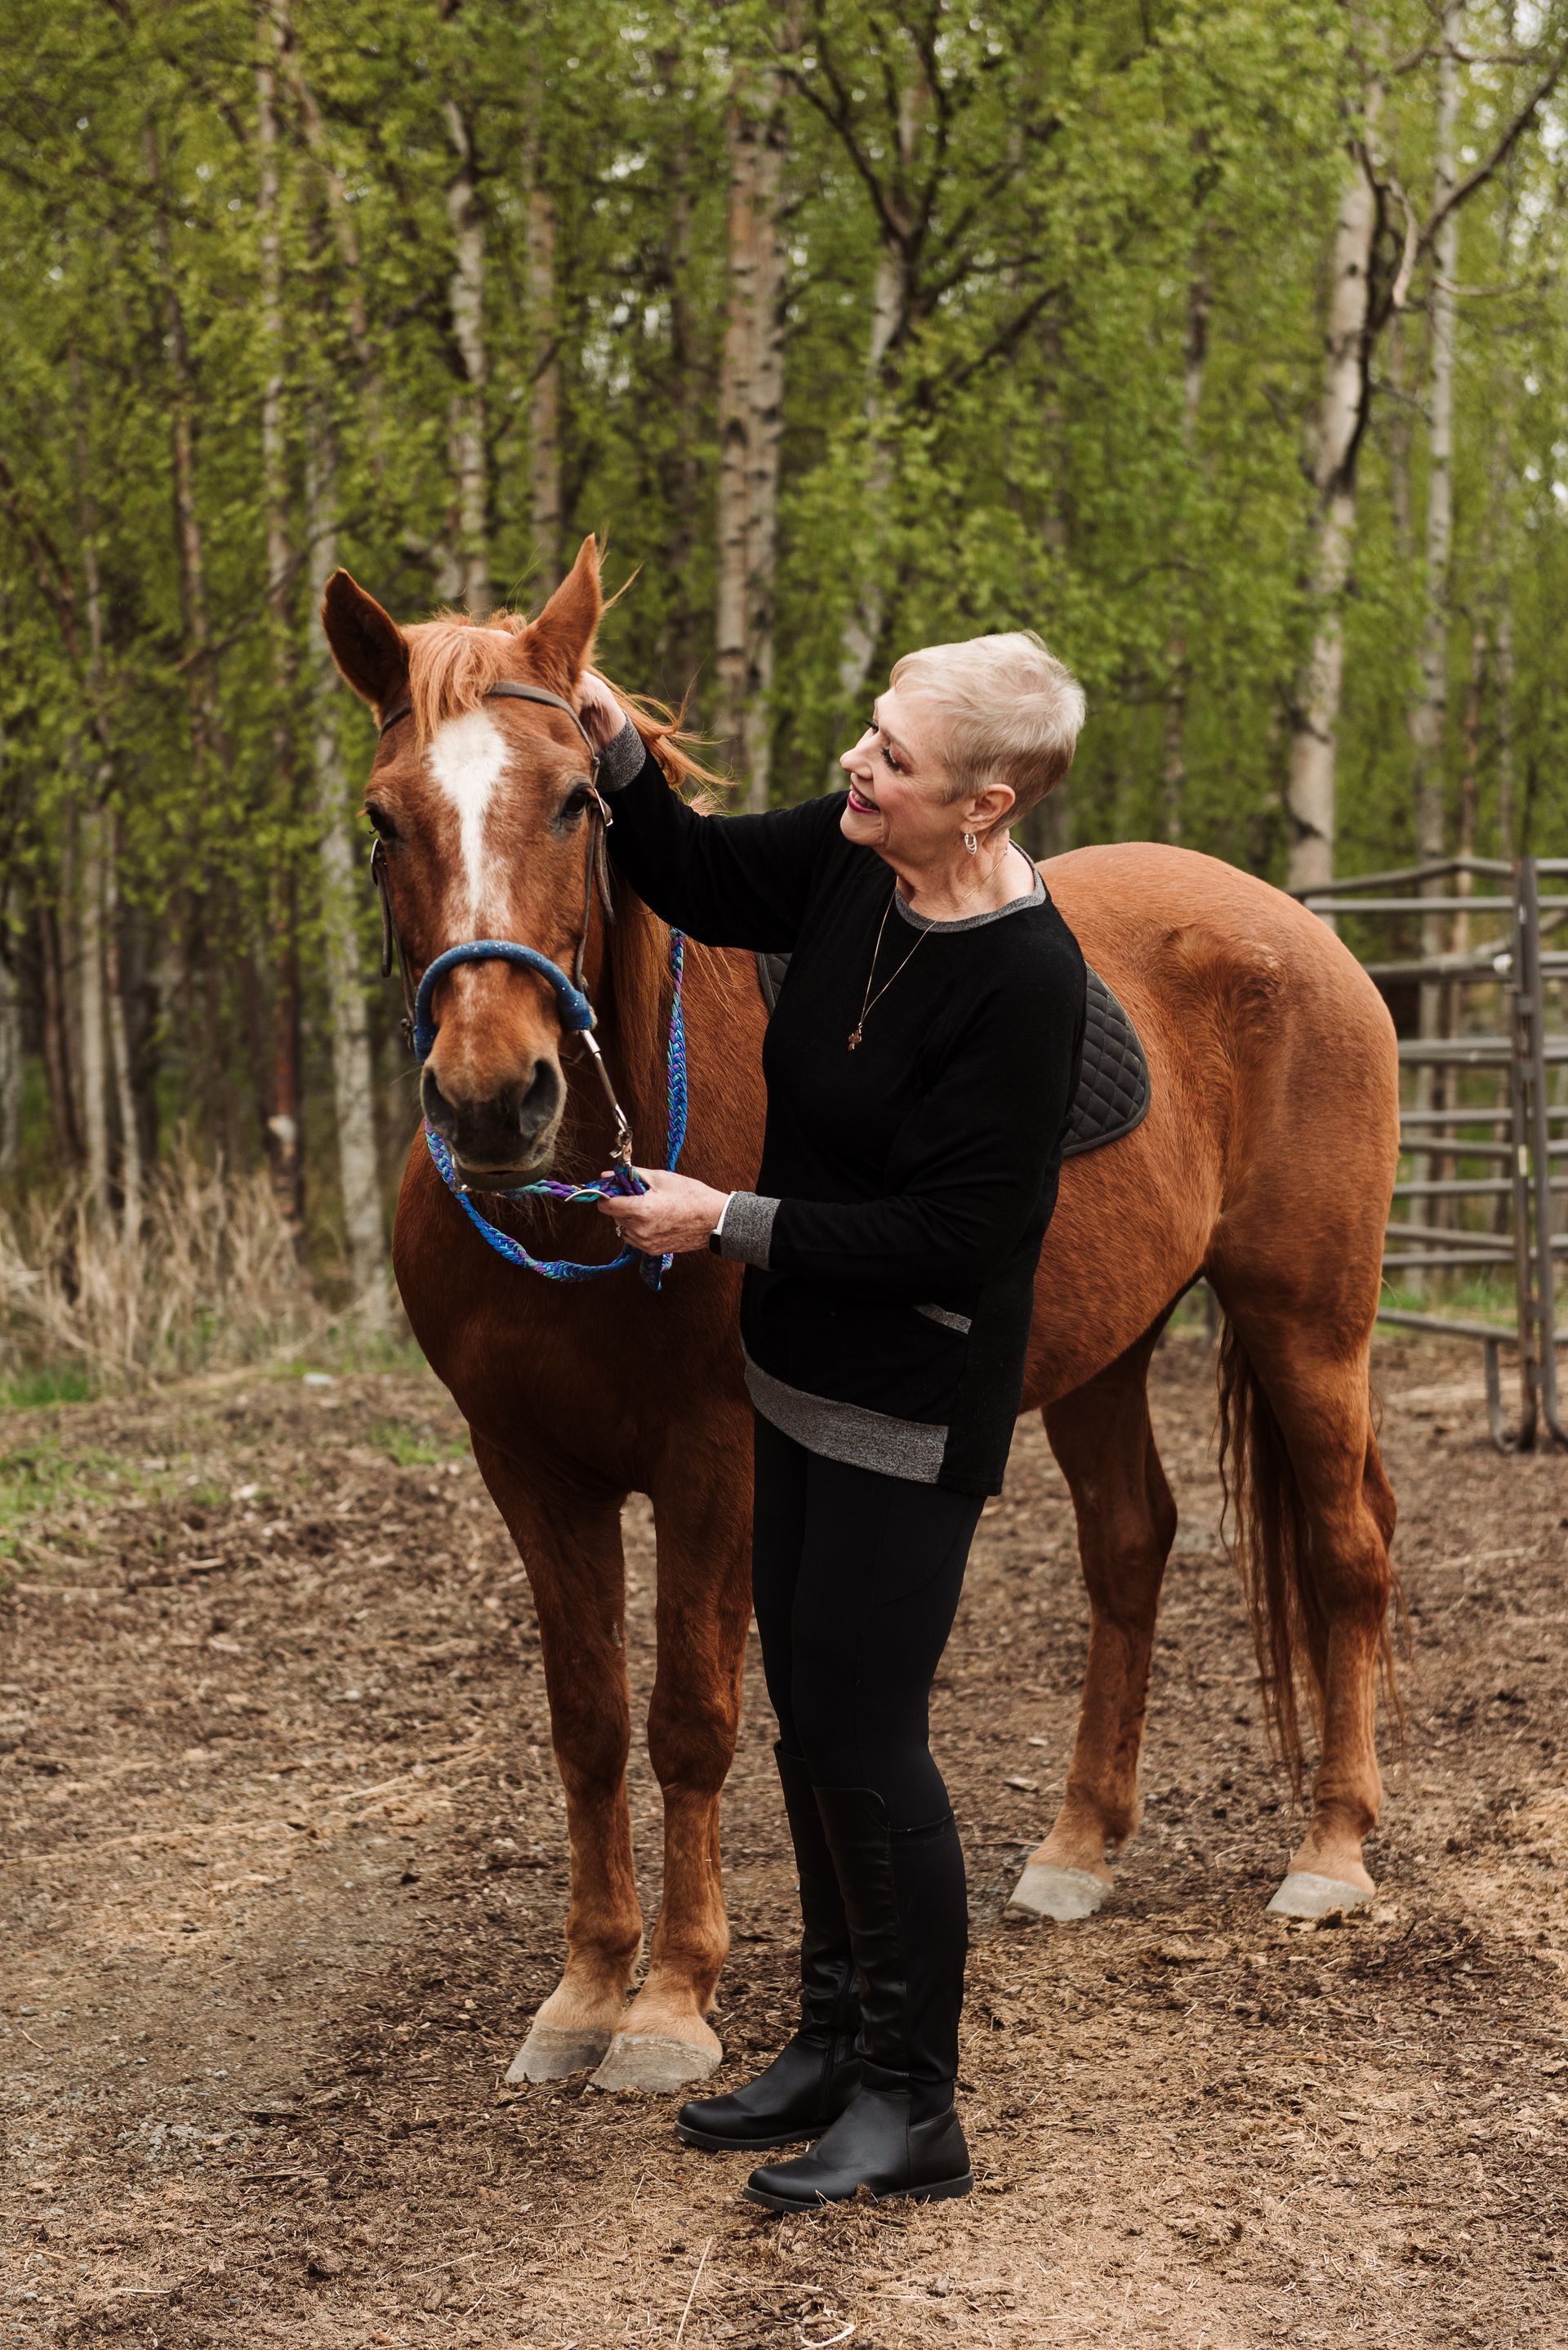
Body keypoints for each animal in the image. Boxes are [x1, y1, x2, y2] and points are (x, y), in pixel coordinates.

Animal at [321, 535, 1402, 2094]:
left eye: (577, 800)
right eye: (384, 818)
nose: (492, 1099)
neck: (574, 1215)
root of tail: (1303, 936)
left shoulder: (716, 1463)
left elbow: (692, 1720)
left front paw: (669, 2006)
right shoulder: (530, 1468)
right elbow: (588, 1725)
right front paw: (582, 1991)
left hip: (1307, 1323)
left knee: (1348, 1550)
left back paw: (1331, 1851)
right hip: (1108, 1353)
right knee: (1131, 1546)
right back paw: (1079, 1849)